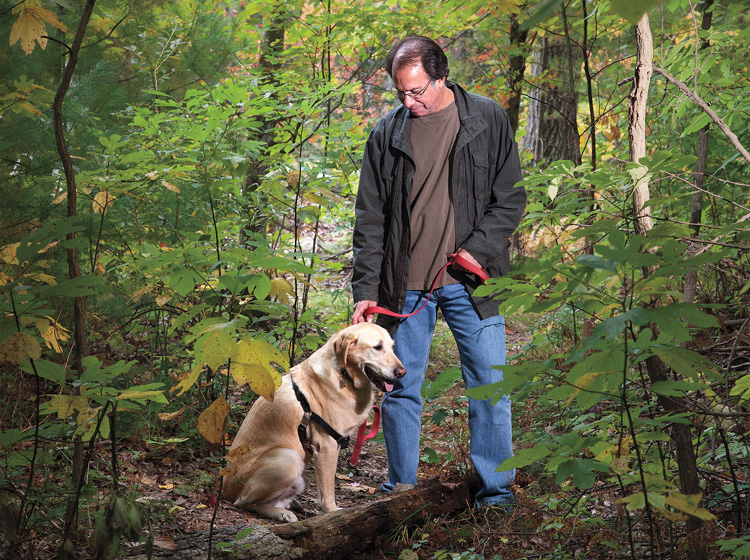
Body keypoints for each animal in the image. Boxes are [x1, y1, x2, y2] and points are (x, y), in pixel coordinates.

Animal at [223, 322, 408, 524]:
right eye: (377, 347)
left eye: (392, 347)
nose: (402, 372)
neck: (343, 374)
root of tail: (226, 489)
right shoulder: (326, 445)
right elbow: (327, 492)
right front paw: (334, 513)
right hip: (288, 459)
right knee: (245, 502)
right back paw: (281, 513)